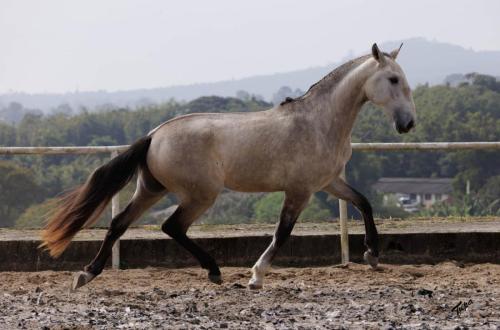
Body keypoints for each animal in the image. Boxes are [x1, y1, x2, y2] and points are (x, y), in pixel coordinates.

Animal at [39, 42, 416, 292]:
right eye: (393, 80)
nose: (408, 124)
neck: (319, 122)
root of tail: (154, 134)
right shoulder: (300, 190)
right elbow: (282, 232)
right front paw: (256, 276)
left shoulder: (328, 183)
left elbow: (364, 203)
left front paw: (372, 255)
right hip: (200, 195)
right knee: (171, 226)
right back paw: (214, 271)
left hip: (151, 189)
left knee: (119, 224)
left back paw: (87, 273)